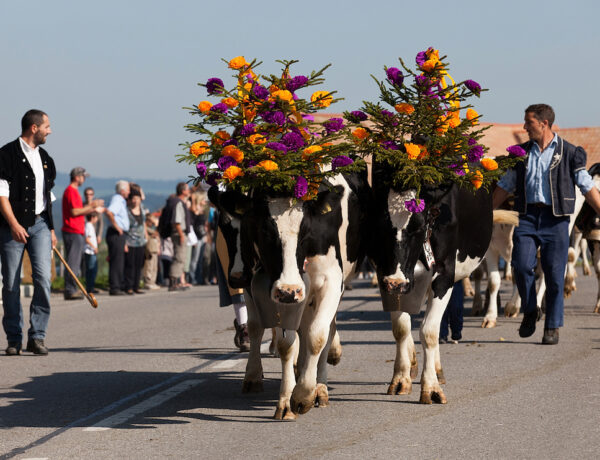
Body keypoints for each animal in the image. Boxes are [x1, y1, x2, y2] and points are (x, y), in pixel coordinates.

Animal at [370, 167, 492, 404]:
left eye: (418, 226)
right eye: (381, 225)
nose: (396, 281)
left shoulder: (444, 275)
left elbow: (428, 331)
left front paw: (431, 387)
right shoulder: (386, 276)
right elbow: (401, 328)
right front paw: (401, 378)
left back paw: (436, 369)